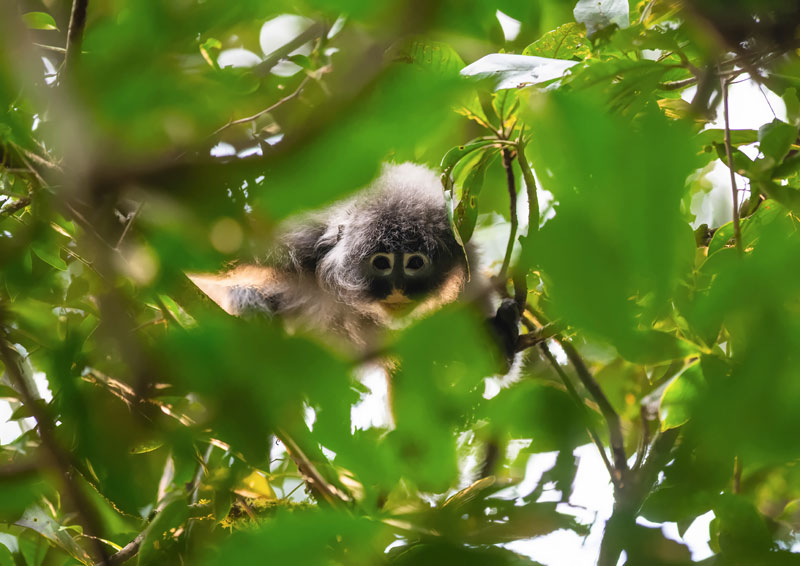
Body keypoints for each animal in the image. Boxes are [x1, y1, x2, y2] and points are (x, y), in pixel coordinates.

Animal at [188, 164, 520, 360]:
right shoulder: (298, 244)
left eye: (414, 264)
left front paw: (501, 339)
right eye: (381, 263)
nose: (397, 289)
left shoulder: (468, 268)